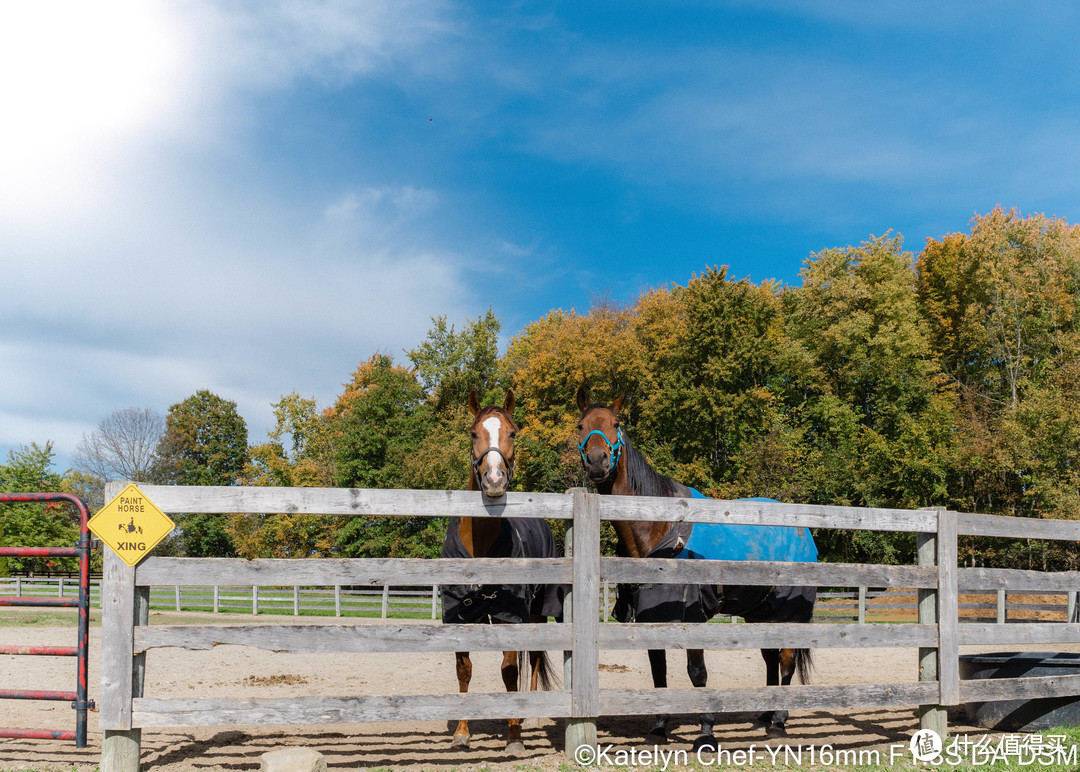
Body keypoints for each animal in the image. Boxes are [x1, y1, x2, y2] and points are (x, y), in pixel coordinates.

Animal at [438, 388, 561, 751]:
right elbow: (464, 669)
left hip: (537, 612)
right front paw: (462, 732)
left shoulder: (510, 615)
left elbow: (509, 670)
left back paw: (528, 714)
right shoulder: (457, 615)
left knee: (534, 659)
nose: (494, 480)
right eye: (472, 433)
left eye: (513, 432)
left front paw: (514, 736)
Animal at [578, 386, 812, 747]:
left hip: (789, 615)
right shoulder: (651, 618)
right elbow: (658, 672)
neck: (662, 533)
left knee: (785, 662)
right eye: (580, 425)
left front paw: (706, 732)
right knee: (771, 658)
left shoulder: (693, 615)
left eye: (615, 424)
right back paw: (765, 713)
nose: (597, 461)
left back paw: (778, 722)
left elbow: (697, 673)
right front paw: (659, 726)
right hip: (762, 614)